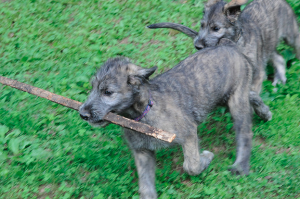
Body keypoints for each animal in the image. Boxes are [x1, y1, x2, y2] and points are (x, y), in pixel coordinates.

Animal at [78, 42, 270, 198]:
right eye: (92, 88)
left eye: (108, 92)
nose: (82, 113)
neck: (142, 115)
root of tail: (230, 45)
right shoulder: (142, 152)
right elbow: (146, 188)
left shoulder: (189, 134)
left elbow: (191, 165)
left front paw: (206, 158)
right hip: (226, 96)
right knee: (252, 94)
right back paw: (264, 112)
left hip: (236, 103)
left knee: (245, 133)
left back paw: (240, 167)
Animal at [148, 0, 300, 89]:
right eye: (202, 25)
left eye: (216, 28)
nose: (197, 46)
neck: (236, 42)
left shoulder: (257, 74)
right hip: (268, 45)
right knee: (278, 57)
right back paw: (280, 78)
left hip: (291, 34)